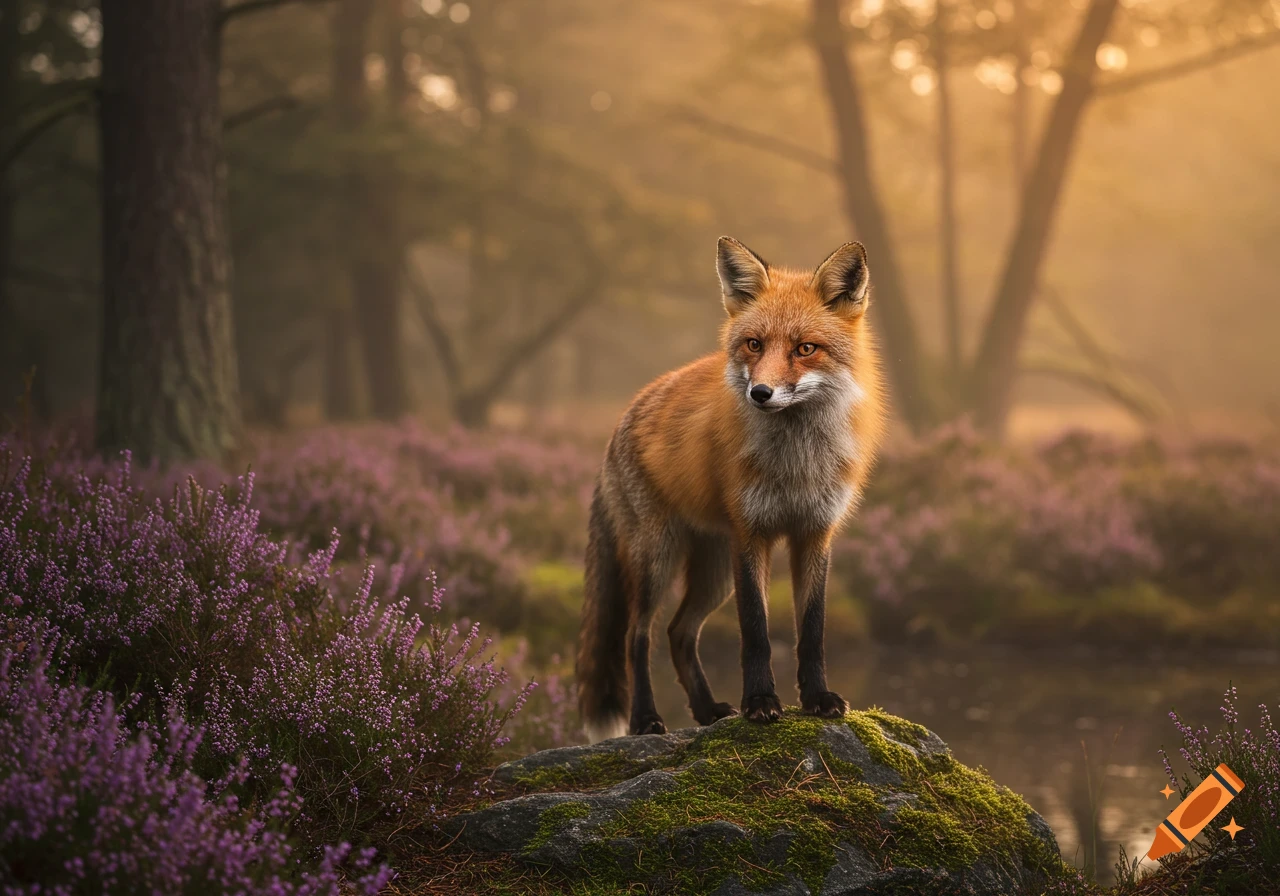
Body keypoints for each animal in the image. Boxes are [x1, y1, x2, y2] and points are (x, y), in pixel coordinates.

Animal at [576, 236, 887, 740]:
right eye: (753, 344)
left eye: (805, 348)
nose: (759, 393)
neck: (795, 466)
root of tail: (622, 418)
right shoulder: (751, 534)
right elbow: (756, 631)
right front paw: (760, 702)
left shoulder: (814, 534)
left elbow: (813, 630)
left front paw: (817, 698)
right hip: (658, 559)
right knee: (636, 636)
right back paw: (646, 719)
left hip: (713, 572)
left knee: (679, 633)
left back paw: (706, 710)